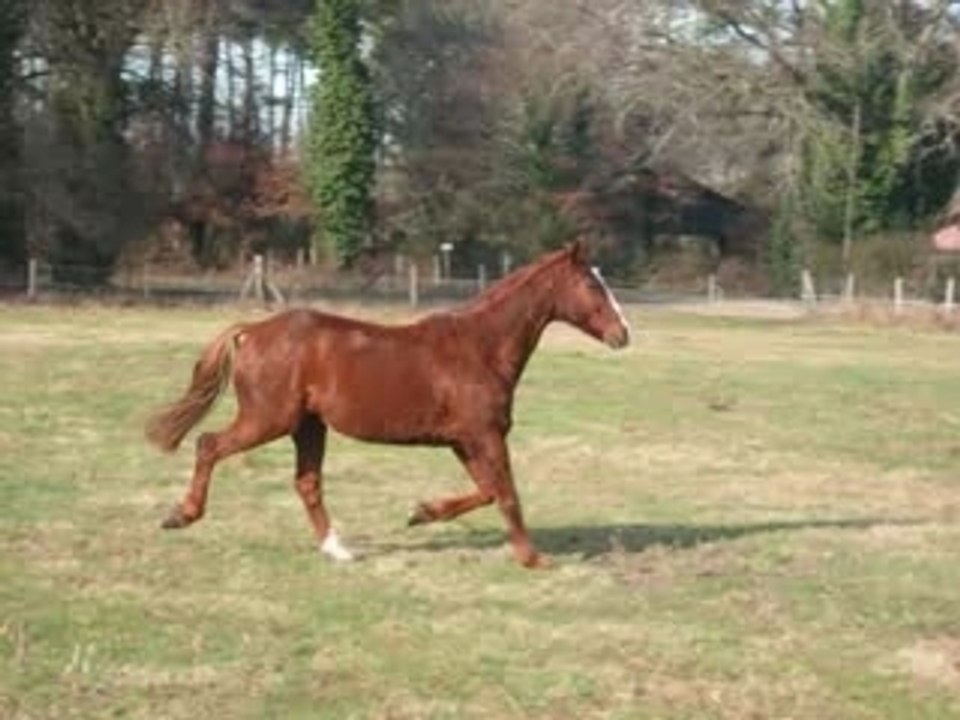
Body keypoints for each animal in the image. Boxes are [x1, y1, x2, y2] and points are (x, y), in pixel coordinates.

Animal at [145, 239, 631, 568]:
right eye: (592, 284)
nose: (623, 334)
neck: (481, 347)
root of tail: (251, 331)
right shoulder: (484, 435)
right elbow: (507, 494)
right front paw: (533, 559)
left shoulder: (464, 440)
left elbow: (489, 491)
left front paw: (421, 513)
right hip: (269, 419)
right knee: (209, 444)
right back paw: (181, 515)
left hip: (307, 426)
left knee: (307, 483)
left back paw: (338, 549)